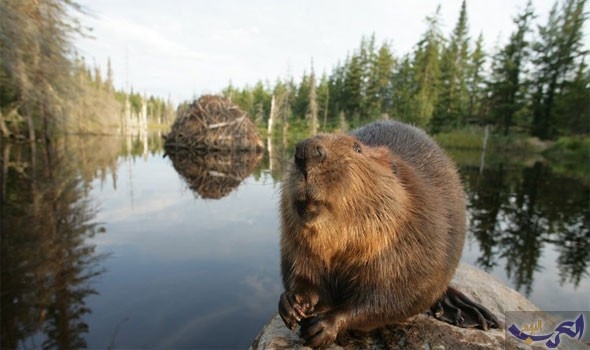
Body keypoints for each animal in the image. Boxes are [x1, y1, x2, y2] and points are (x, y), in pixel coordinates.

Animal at [278, 119, 500, 348]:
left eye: (357, 148)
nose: (306, 150)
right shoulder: (295, 243)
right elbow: (301, 272)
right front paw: (292, 303)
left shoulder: (416, 239)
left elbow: (393, 297)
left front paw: (324, 326)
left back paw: (467, 312)